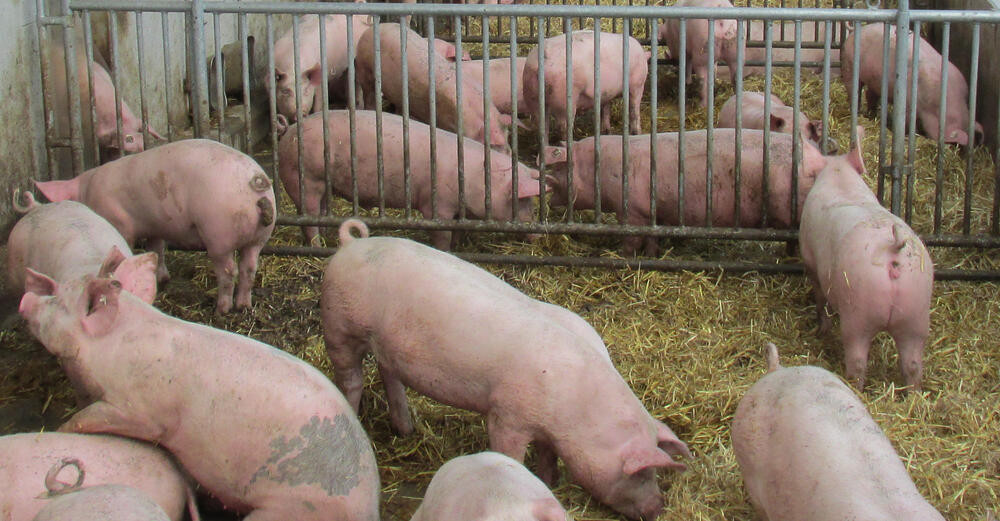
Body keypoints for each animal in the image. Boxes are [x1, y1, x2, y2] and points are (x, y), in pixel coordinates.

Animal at [32, 139, 276, 313]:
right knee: (249, 267)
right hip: (259, 236)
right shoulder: (155, 228)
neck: (88, 191)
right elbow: (157, 249)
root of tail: (254, 179)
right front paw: (163, 279)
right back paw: (243, 306)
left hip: (218, 233)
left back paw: (221, 310)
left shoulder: (120, 222)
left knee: (229, 271)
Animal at [277, 110, 543, 249]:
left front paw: (459, 245)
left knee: (320, 212)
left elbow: (458, 231)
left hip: (322, 184)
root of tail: (288, 133)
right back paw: (317, 246)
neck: (478, 181)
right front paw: (446, 250)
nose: (537, 236)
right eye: (525, 203)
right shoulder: (436, 206)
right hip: (305, 178)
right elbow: (442, 234)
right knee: (308, 217)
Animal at [541, 128, 830, 256]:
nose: (548, 200)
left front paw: (619, 255)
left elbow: (632, 240)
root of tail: (819, 160)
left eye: (559, 171)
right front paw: (653, 255)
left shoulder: (632, 212)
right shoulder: (653, 214)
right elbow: (652, 239)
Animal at [799, 130, 933, 390]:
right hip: (917, 310)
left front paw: (822, 329)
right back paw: (913, 393)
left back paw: (855, 386)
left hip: (858, 311)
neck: (841, 178)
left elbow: (819, 296)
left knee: (858, 362)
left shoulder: (810, 260)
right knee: (913, 364)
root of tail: (892, 250)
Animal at [841, 24, 983, 146]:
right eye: (954, 145)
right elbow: (908, 122)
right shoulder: (909, 103)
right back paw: (858, 112)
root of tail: (858, 29)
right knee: (854, 89)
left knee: (870, 94)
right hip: (849, 64)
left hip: (875, 81)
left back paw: (872, 116)